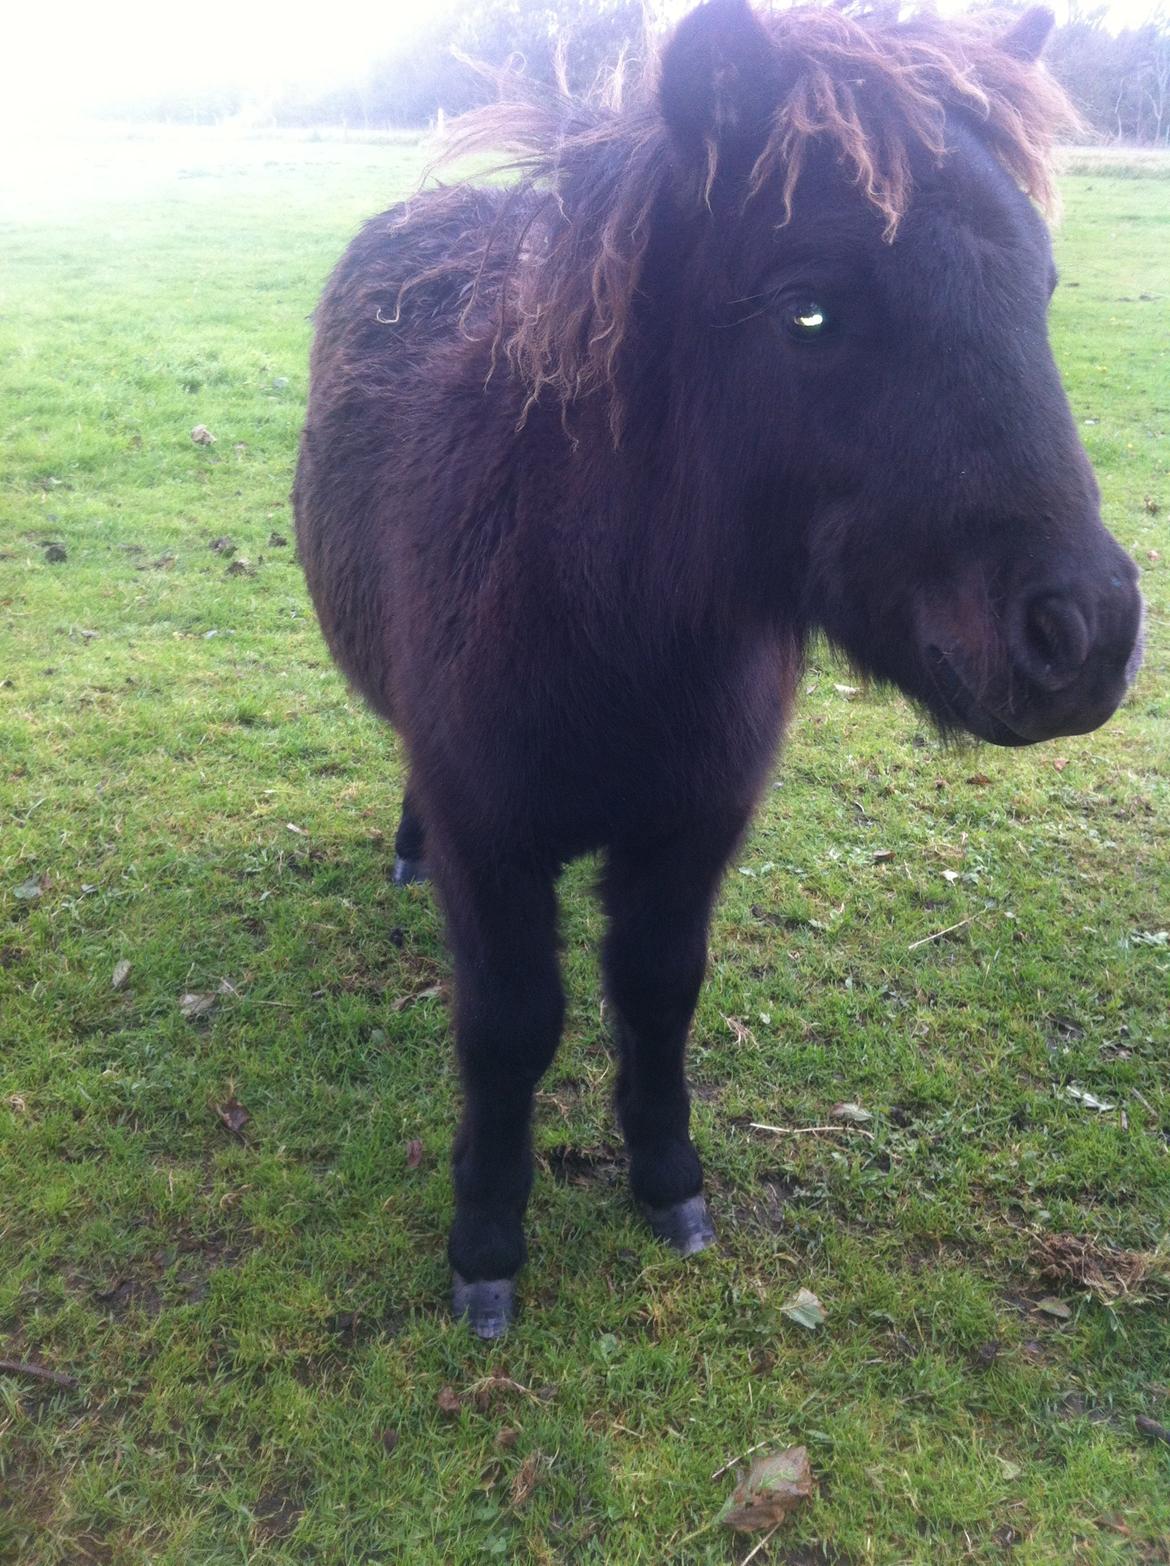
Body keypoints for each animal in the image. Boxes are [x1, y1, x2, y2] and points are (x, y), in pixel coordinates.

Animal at [294, 3, 1146, 1346]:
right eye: (809, 312)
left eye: (1043, 289)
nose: (1085, 636)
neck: (603, 615)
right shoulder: (492, 838)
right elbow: (509, 1029)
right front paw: (486, 1245)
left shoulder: (692, 829)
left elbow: (658, 992)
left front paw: (667, 1185)